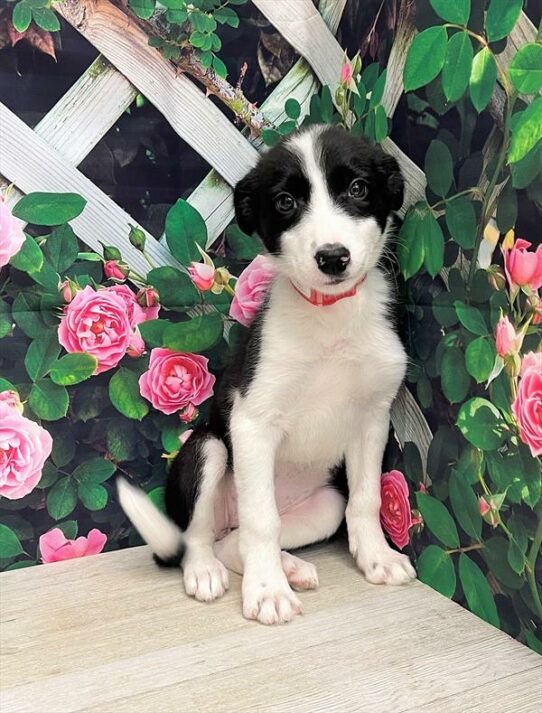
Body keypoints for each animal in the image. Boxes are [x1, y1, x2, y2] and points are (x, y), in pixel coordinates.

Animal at [119, 124, 416, 624]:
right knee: (203, 538)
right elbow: (263, 520)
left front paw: (377, 557)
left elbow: (366, 499)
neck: (329, 318)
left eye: (358, 189)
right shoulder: (251, 421)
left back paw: (290, 566)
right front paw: (267, 592)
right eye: (285, 202)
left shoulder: (372, 419)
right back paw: (208, 572)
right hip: (208, 450)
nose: (332, 258)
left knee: (234, 542)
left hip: (324, 506)